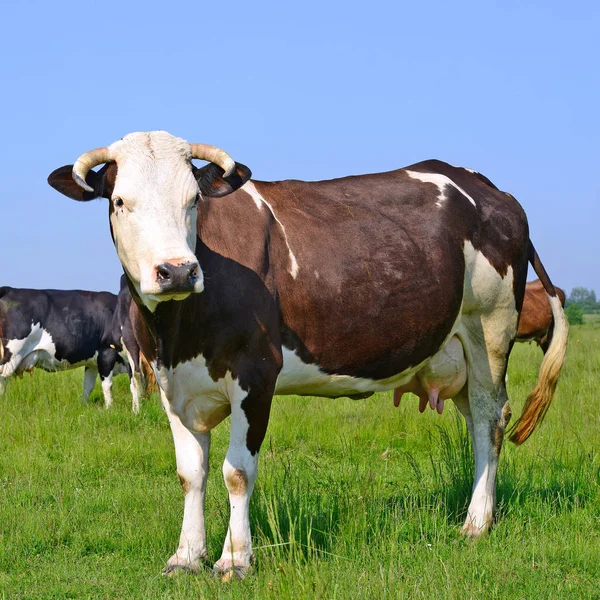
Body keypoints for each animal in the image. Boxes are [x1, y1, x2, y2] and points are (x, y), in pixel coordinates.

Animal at [0, 284, 138, 408]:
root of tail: (10, 289)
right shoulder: (106, 353)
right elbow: (108, 385)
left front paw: (83, 407)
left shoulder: (92, 363)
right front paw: (110, 409)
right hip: (12, 354)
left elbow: (88, 386)